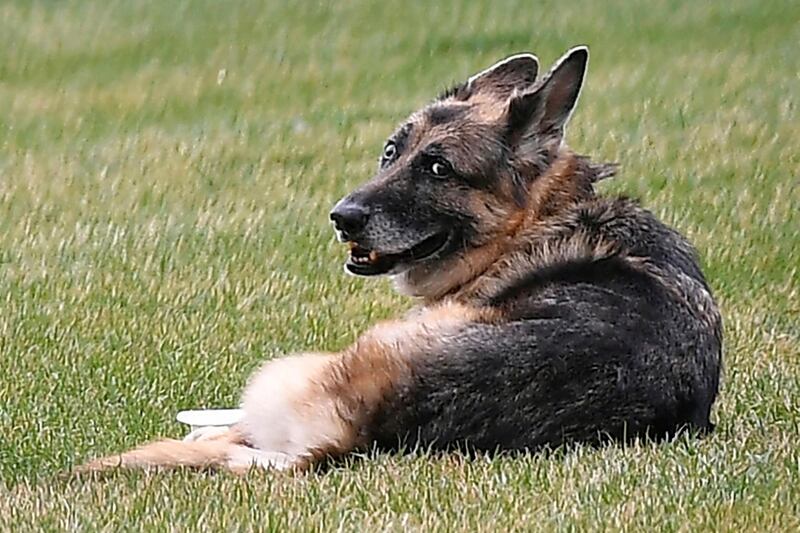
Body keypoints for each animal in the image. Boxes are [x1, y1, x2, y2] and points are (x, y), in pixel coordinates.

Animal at [78, 43, 720, 472]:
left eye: (438, 168)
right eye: (391, 152)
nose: (341, 218)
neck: (537, 218)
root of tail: (356, 433)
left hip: (310, 363)